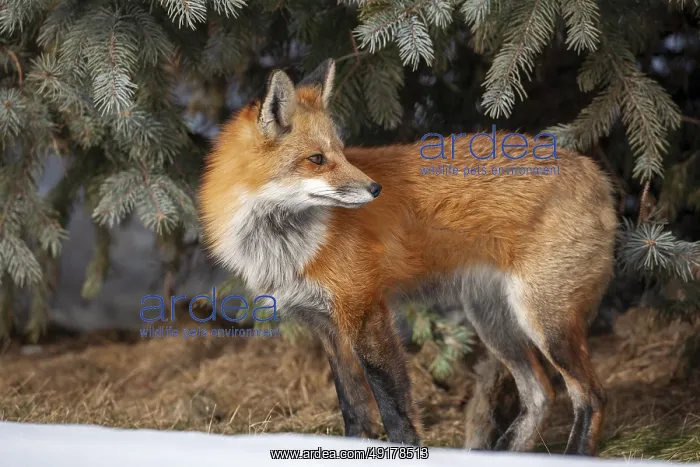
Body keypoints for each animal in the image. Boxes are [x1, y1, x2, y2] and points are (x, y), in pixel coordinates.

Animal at [198, 58, 617, 455]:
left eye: (341, 151)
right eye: (316, 159)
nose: (375, 189)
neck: (284, 243)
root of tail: (595, 172)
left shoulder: (365, 312)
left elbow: (394, 405)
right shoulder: (328, 326)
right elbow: (354, 409)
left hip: (543, 322)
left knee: (592, 396)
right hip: (494, 323)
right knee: (541, 395)